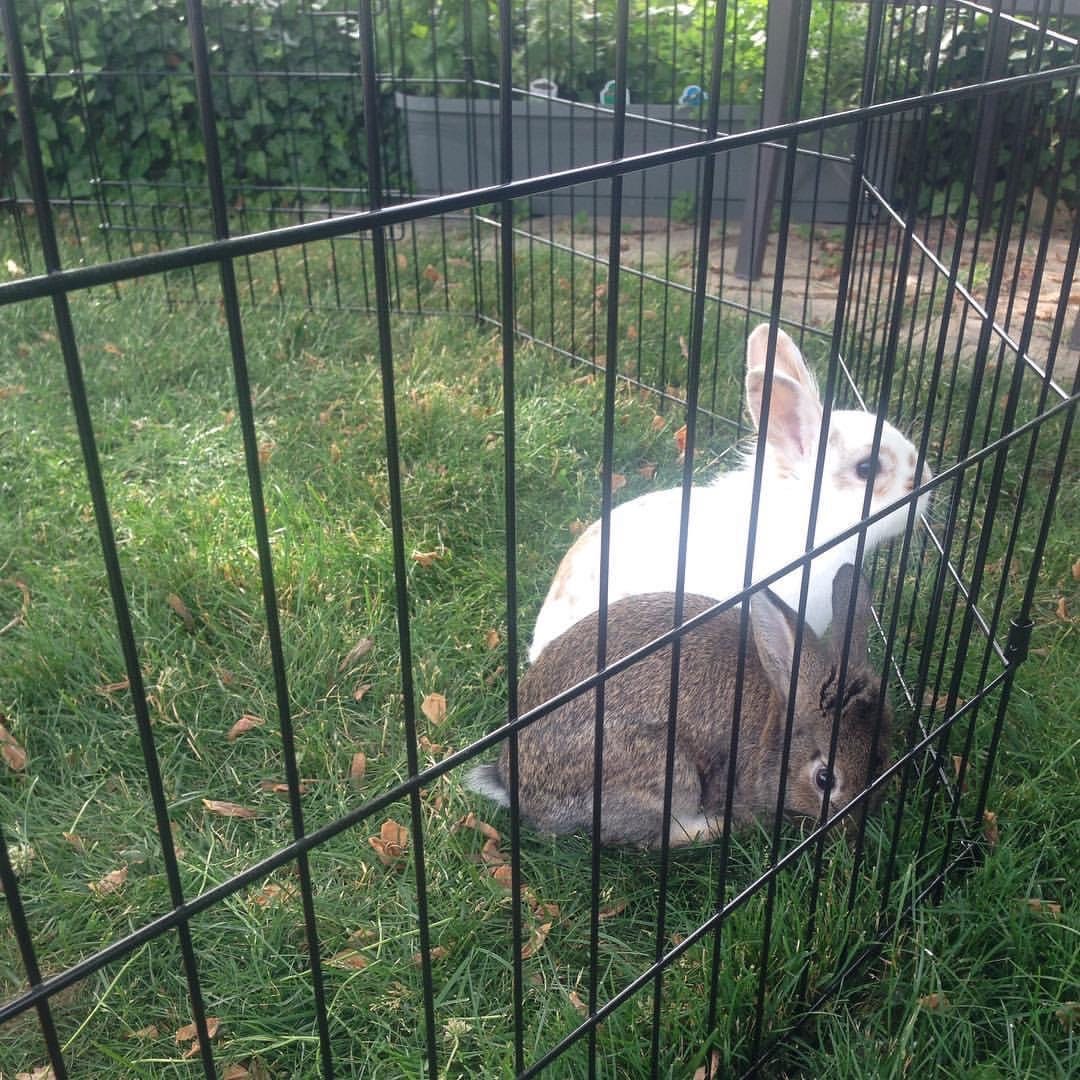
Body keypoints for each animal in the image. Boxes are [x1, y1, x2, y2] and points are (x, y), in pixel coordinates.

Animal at [468, 564, 892, 848]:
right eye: (824, 779)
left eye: (882, 758)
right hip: (665, 773)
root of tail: (514, 785)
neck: (774, 723)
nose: (852, 827)